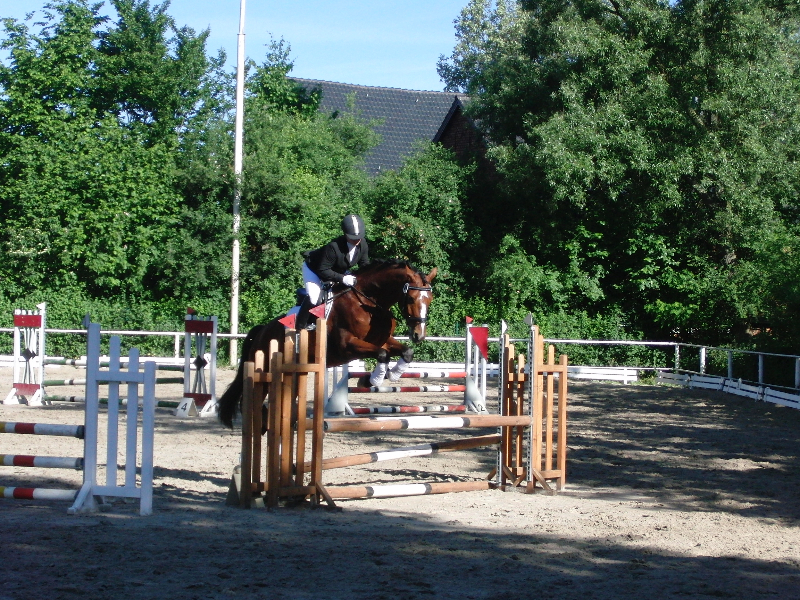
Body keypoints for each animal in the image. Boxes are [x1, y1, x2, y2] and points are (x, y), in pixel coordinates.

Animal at [218, 259, 438, 429]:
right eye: (411, 298)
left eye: (430, 299)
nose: (419, 335)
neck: (370, 303)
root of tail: (262, 331)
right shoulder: (348, 346)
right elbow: (383, 355)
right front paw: (371, 381)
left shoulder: (382, 341)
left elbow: (405, 352)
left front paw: (390, 374)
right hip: (265, 370)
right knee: (251, 400)